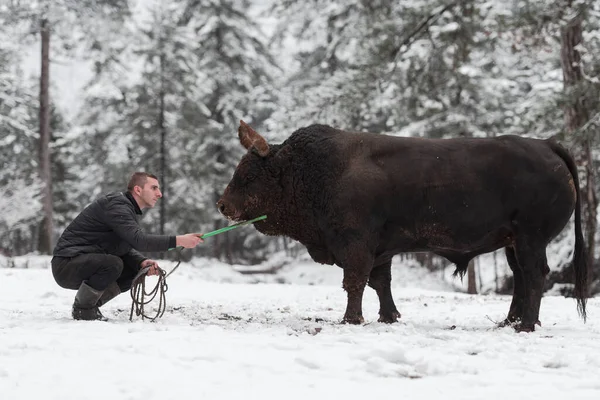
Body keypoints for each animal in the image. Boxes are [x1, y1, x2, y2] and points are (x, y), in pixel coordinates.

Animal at [216, 121, 584, 332]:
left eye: (248, 175)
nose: (222, 205)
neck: (309, 170)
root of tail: (546, 145)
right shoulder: (381, 249)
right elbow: (380, 283)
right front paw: (388, 316)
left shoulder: (356, 245)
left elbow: (355, 282)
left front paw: (351, 319)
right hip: (513, 243)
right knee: (520, 278)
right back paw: (510, 321)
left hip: (530, 239)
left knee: (534, 275)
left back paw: (525, 325)